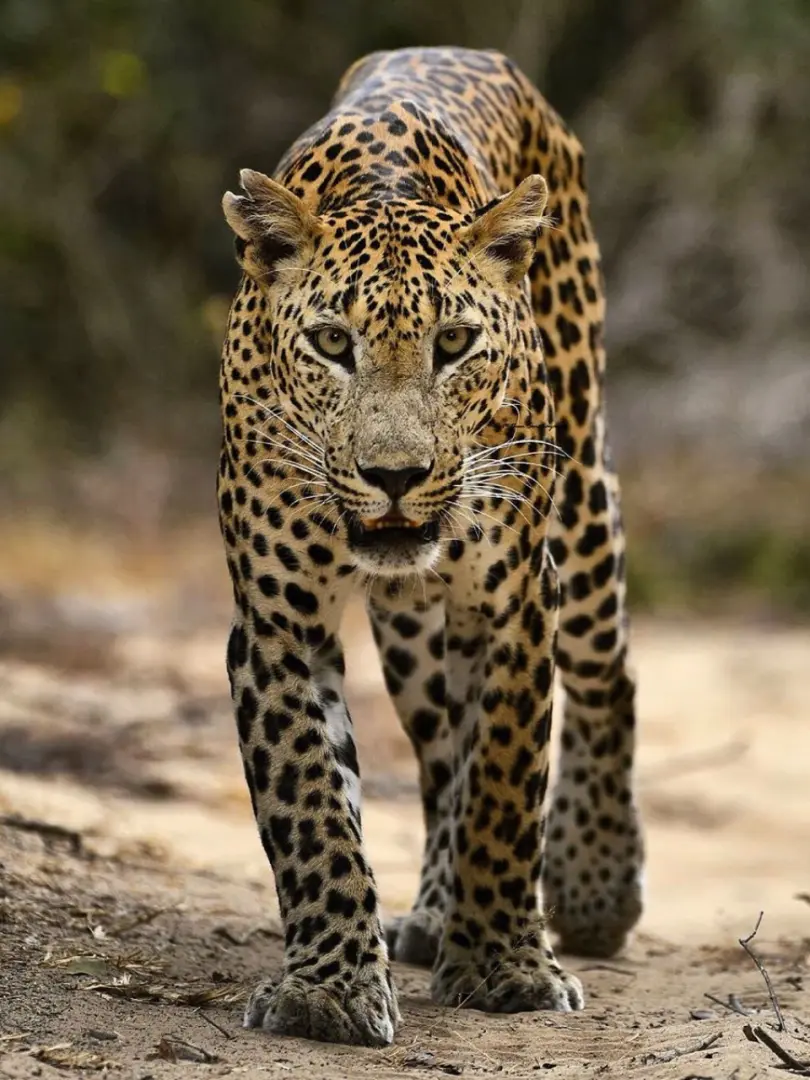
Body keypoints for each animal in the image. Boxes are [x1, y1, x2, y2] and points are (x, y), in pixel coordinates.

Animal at [217, 46, 643, 1048]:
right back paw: (437, 910)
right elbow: (311, 801)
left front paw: (506, 966)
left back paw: (596, 884)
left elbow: (505, 784)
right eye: (331, 342)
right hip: (414, 638)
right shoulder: (276, 622)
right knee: (442, 752)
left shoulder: (514, 604)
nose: (396, 475)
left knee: (607, 674)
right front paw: (329, 986)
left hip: (582, 505)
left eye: (455, 341)